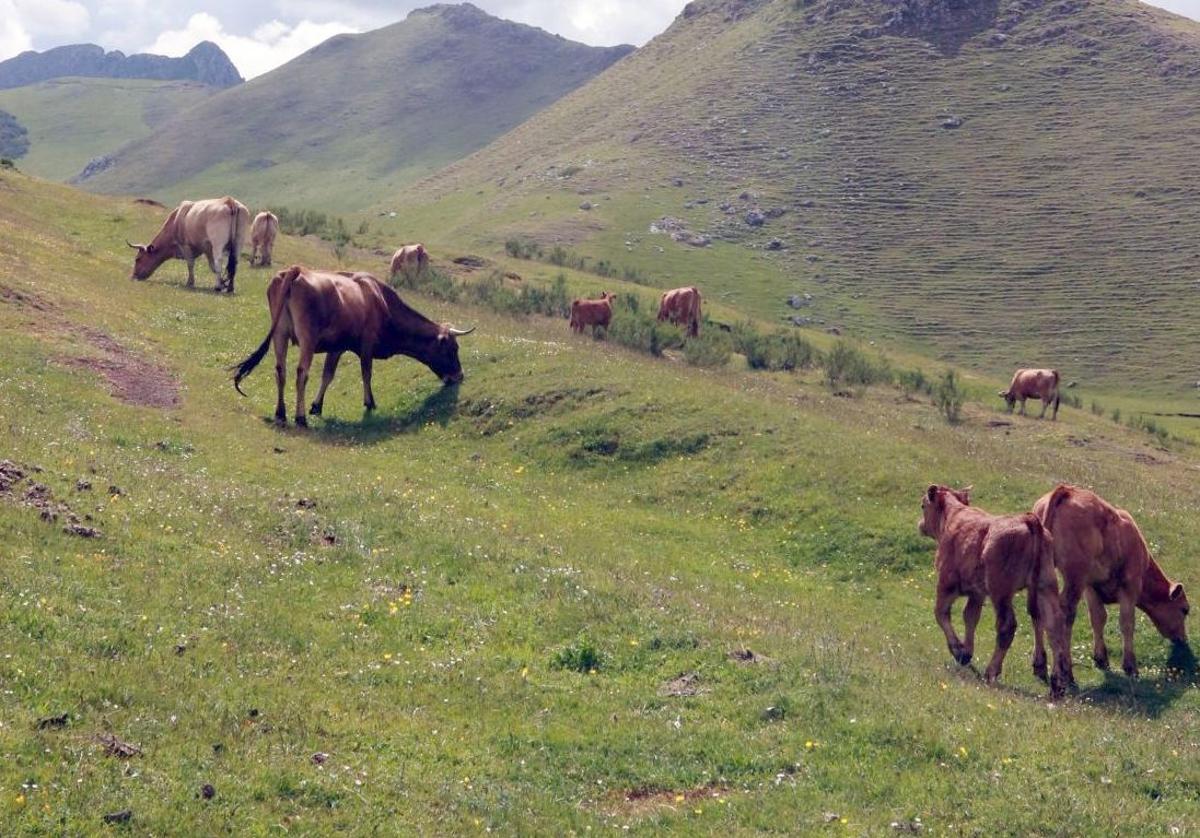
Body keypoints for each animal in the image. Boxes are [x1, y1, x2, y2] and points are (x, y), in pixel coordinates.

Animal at [231, 264, 475, 425]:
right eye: (453, 349)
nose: (459, 376)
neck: (381, 302)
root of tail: (296, 271)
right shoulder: (367, 343)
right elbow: (366, 373)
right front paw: (369, 402)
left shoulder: (337, 347)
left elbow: (327, 375)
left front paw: (317, 405)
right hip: (308, 338)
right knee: (301, 373)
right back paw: (299, 418)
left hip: (279, 334)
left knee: (280, 370)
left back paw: (280, 413)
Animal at [916, 480, 1070, 696]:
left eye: (923, 505)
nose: (921, 525)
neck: (953, 516)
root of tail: (1029, 520)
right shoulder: (977, 592)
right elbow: (970, 616)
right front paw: (966, 652)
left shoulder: (946, 583)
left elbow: (941, 613)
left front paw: (958, 651)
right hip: (1045, 585)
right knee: (1054, 624)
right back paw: (1057, 682)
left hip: (1001, 592)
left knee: (1007, 626)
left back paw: (991, 671)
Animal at [1032, 487, 1190, 677]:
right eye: (1185, 610)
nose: (1183, 639)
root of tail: (1067, 490)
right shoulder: (1130, 587)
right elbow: (1127, 622)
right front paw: (1130, 665)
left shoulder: (1091, 587)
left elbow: (1098, 618)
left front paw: (1101, 658)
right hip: (1074, 577)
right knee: (1064, 613)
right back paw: (1065, 669)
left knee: (1037, 609)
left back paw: (1039, 663)